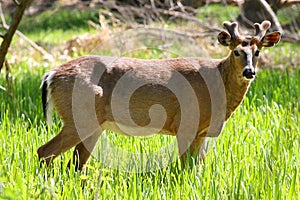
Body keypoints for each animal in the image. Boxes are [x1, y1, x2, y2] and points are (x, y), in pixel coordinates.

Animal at [37, 20, 282, 171]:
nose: (249, 72)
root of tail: (51, 74)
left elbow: (199, 166)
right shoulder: (185, 123)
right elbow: (186, 167)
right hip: (78, 116)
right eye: (237, 51)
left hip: (92, 124)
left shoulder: (202, 131)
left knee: (76, 163)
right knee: (45, 152)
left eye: (257, 52)